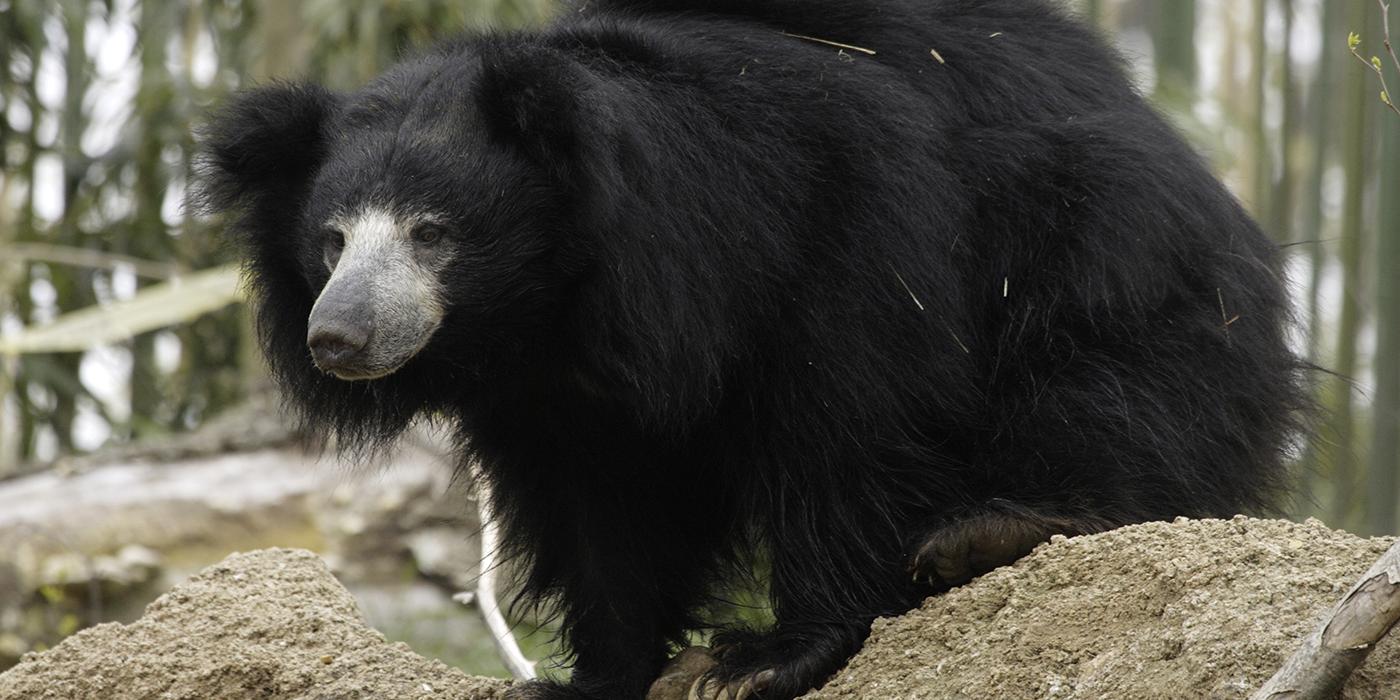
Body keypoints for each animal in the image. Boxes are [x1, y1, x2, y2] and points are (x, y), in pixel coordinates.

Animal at [197, 1, 1299, 700]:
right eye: (330, 240)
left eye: (433, 233)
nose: (337, 337)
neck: (564, 299)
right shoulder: (557, 392)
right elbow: (599, 510)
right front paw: (600, 675)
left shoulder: (842, 225)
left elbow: (847, 422)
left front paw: (756, 662)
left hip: (1109, 246)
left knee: (1116, 387)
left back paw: (1004, 528)